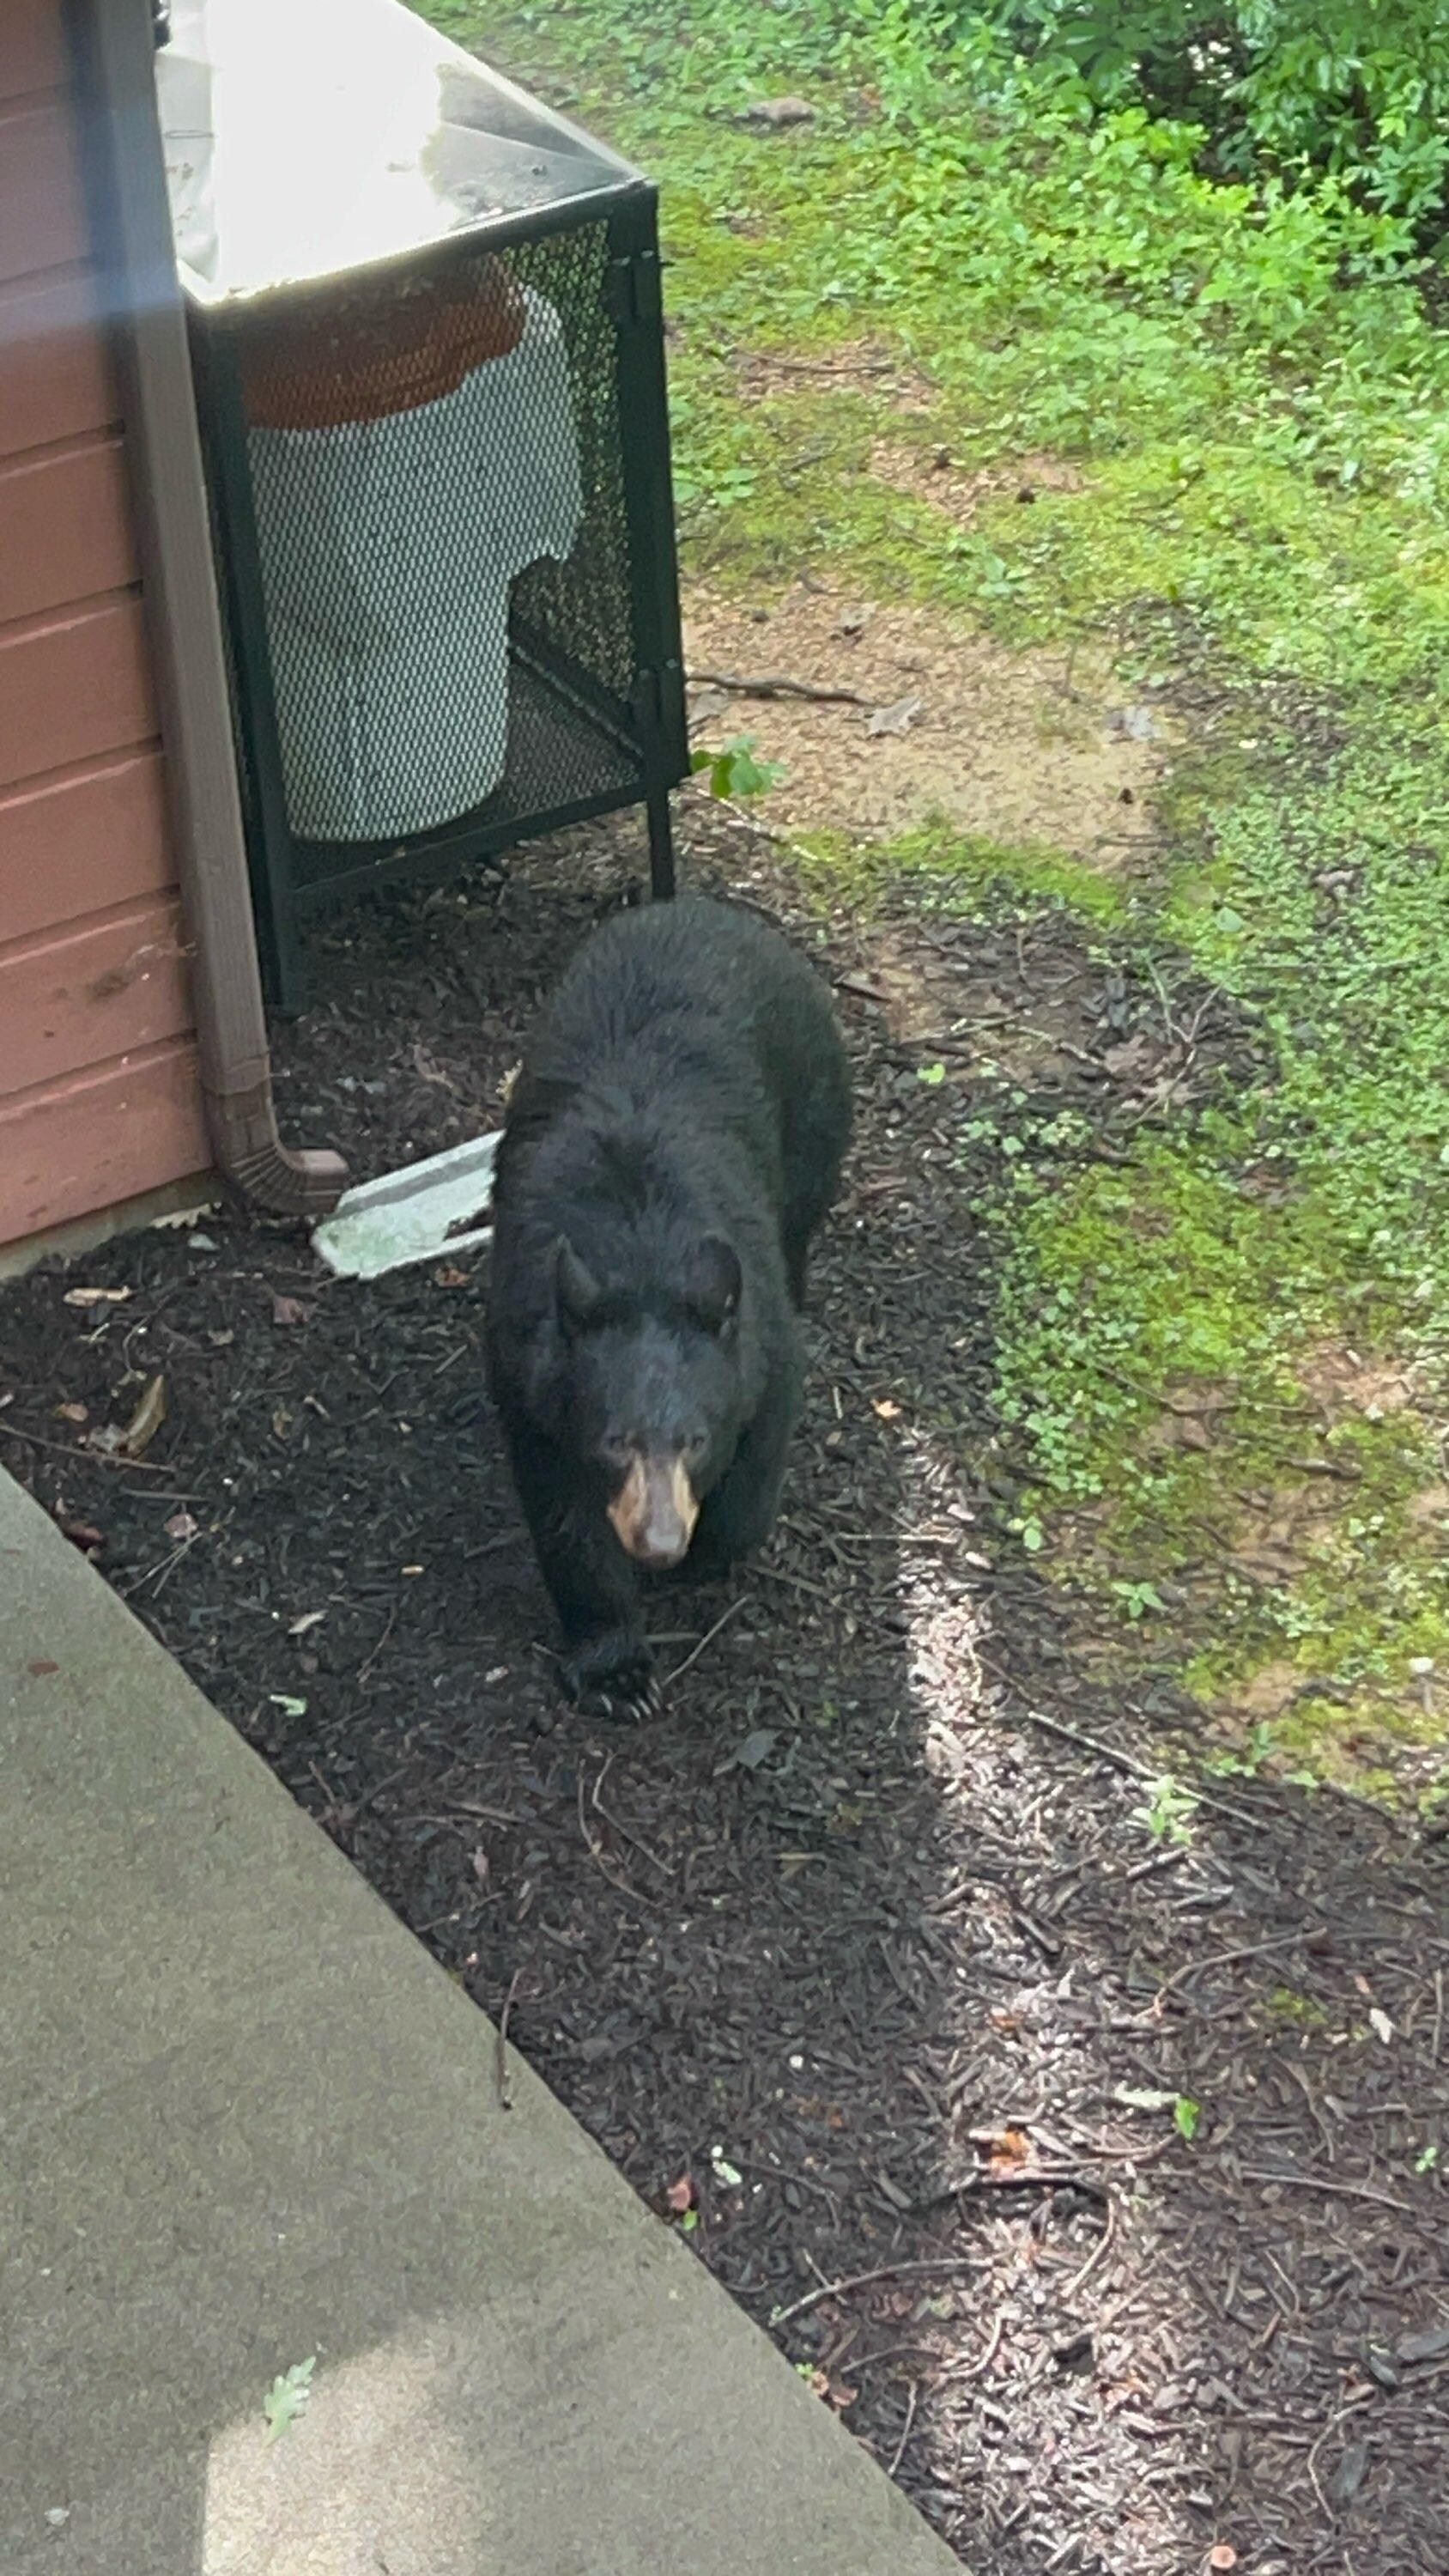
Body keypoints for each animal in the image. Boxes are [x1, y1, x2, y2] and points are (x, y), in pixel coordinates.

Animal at [484, 894, 851, 1718]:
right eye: (614, 1441)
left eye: (693, 1439)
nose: (657, 1542)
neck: (640, 1250)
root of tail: (702, 906)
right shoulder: (525, 1357)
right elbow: (562, 1512)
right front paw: (616, 1671)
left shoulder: (757, 1340)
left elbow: (761, 1443)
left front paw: (706, 1550)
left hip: (815, 1105)